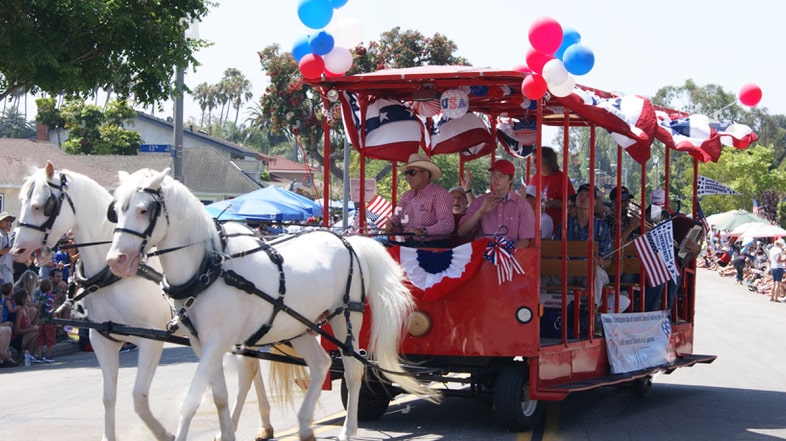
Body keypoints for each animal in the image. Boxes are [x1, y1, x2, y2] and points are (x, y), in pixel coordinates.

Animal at [9, 163, 284, 440]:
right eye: (21, 201)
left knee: (248, 371)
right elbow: (108, 397)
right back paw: (262, 424)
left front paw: (165, 434)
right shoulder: (102, 339)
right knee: (251, 369)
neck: (112, 277)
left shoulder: (150, 339)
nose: (17, 250)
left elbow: (138, 397)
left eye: (42, 205)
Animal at [104, 166, 434, 440]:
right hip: (300, 324)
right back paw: (304, 425)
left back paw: (348, 430)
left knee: (353, 370)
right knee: (321, 363)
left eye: (144, 210)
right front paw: (227, 434)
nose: (116, 260)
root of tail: (348, 241)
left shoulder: (217, 340)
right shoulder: (203, 343)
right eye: (116, 211)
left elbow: (191, 400)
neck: (209, 267)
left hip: (345, 317)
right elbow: (219, 395)